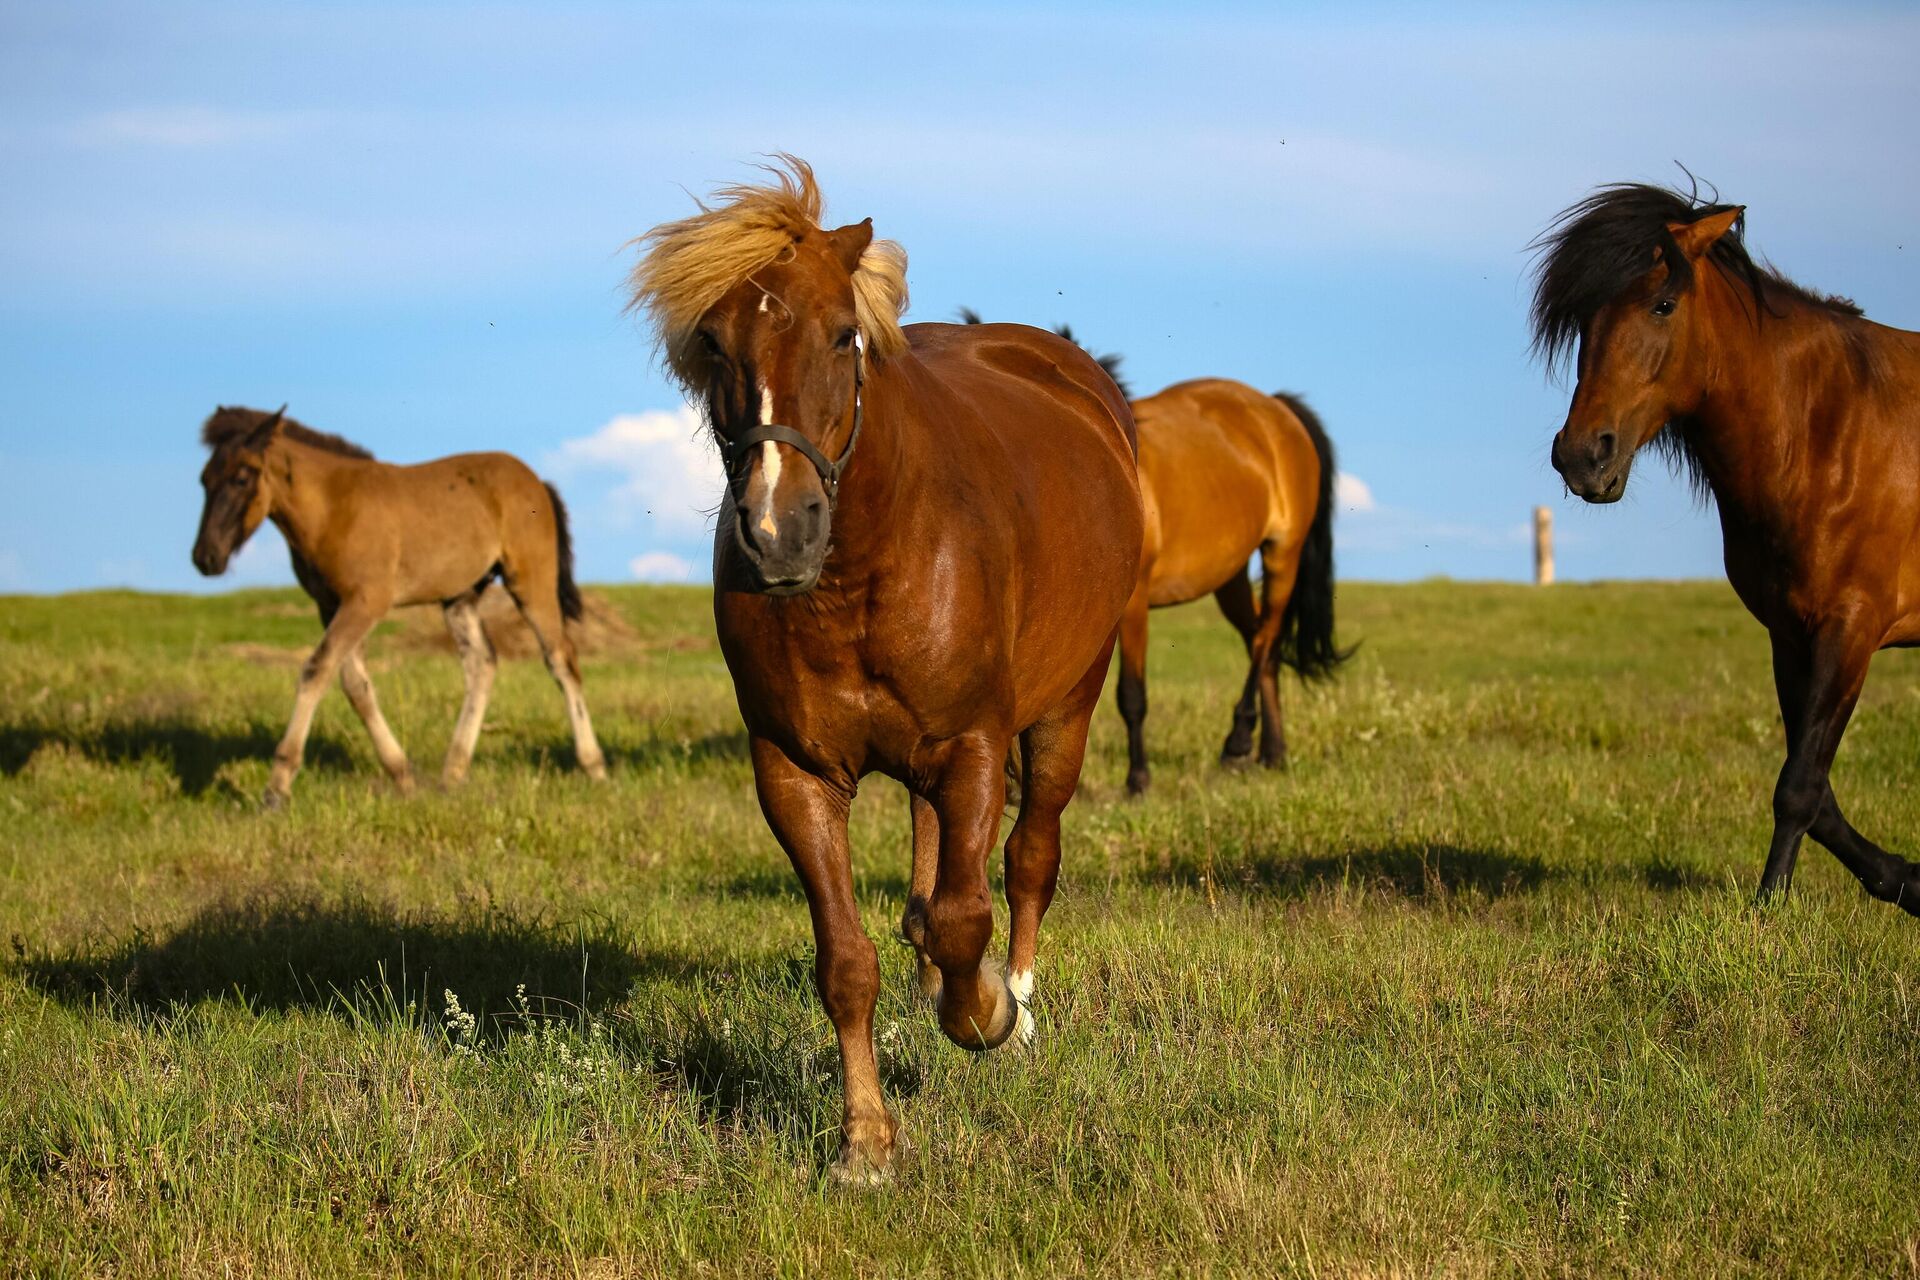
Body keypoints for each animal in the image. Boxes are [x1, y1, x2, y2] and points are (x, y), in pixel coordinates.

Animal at [191, 410, 602, 805]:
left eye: (242, 478)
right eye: (204, 480)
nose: (205, 557)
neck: (332, 507)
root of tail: (537, 482)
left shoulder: (366, 601)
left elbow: (316, 670)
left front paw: (277, 787)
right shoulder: (330, 605)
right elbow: (355, 686)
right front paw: (403, 776)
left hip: (529, 581)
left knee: (561, 658)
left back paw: (593, 765)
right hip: (460, 595)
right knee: (482, 664)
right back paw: (452, 775)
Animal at [629, 157, 1136, 1182]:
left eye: (841, 334)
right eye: (715, 344)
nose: (778, 531)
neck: (857, 576)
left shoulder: (973, 745)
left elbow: (967, 918)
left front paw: (987, 1013)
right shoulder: (795, 772)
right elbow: (849, 959)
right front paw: (865, 1139)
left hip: (1066, 706)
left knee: (1028, 856)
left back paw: (1019, 1004)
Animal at [952, 310, 1344, 790]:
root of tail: (1277, 409)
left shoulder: (1132, 608)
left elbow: (1131, 694)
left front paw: (1137, 778)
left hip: (1282, 554)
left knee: (1265, 640)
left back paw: (1237, 742)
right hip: (1230, 577)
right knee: (1261, 645)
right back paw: (1271, 751)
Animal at [1528, 182, 1920, 921]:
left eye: (1662, 303)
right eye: (1585, 316)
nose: (1581, 456)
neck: (1827, 430)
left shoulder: (1851, 629)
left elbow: (1799, 786)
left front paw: (1769, 907)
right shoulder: (1791, 635)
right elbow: (1817, 793)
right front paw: (1907, 880)